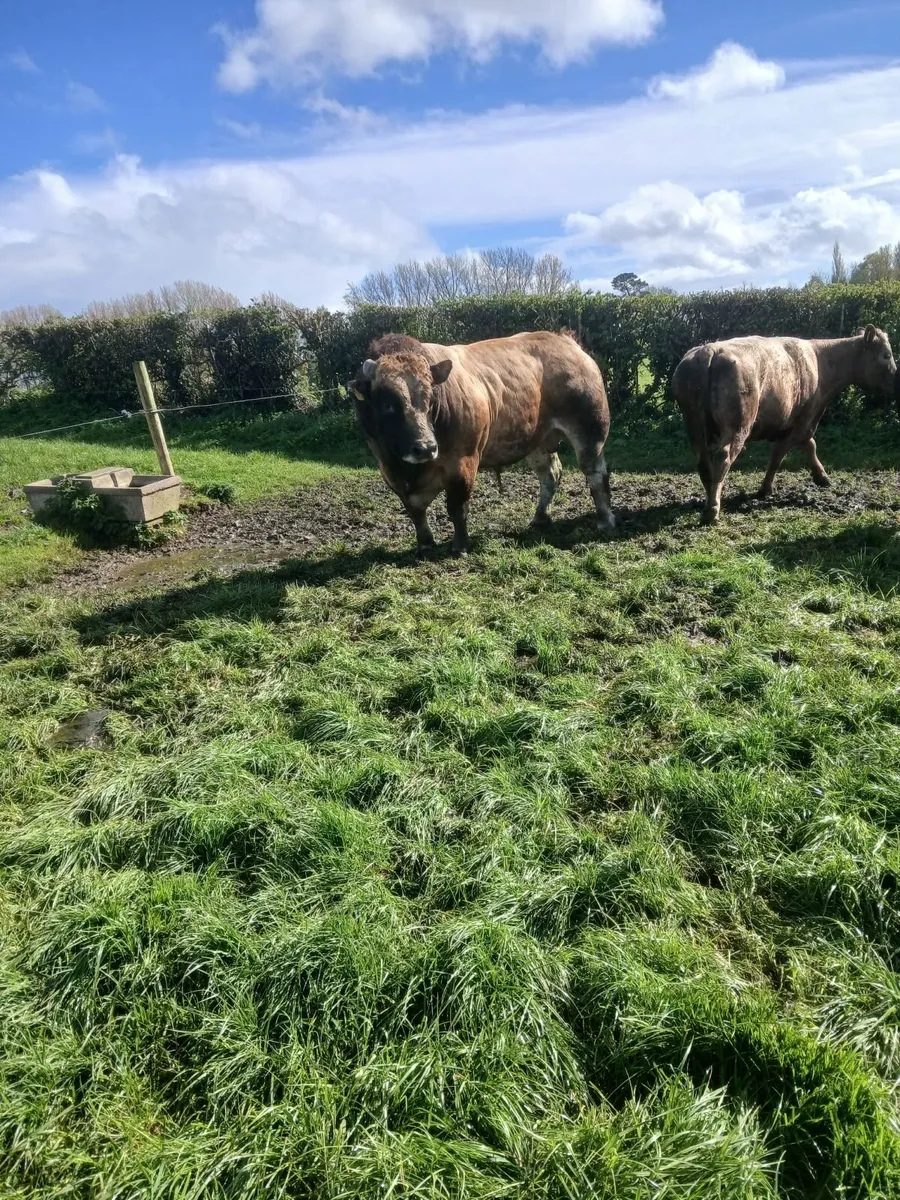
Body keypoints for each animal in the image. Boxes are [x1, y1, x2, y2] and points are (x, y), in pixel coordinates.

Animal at [348, 330, 614, 555]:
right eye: (387, 404)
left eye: (431, 397)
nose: (426, 447)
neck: (409, 470)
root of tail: (566, 341)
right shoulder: (389, 470)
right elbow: (415, 511)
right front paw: (425, 544)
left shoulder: (463, 463)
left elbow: (457, 507)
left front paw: (460, 546)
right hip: (538, 440)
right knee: (551, 474)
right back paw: (540, 517)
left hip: (590, 429)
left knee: (595, 473)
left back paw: (605, 520)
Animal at [672, 325, 897, 523]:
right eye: (886, 355)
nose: (897, 380)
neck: (820, 362)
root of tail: (710, 351)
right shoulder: (801, 421)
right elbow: (781, 455)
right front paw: (766, 488)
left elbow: (807, 445)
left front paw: (821, 476)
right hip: (737, 426)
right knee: (723, 458)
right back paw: (712, 510)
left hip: (694, 427)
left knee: (703, 461)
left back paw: (710, 497)